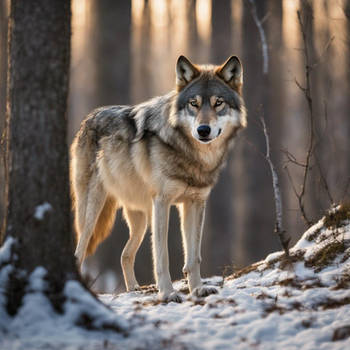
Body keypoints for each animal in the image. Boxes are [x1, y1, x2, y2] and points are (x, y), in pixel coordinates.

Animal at [71, 54, 246, 300]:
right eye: (194, 103)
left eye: (218, 103)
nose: (203, 130)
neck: (191, 155)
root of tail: (89, 117)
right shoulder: (162, 202)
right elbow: (162, 255)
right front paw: (167, 293)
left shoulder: (195, 203)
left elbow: (194, 256)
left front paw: (197, 289)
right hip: (93, 212)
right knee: (80, 250)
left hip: (141, 219)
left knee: (125, 254)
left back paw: (134, 288)